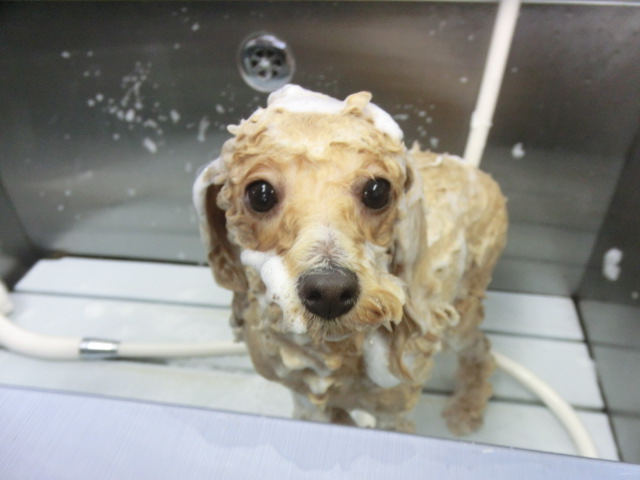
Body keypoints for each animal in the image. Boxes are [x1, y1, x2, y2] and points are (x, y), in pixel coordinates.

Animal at [194, 85, 507, 434]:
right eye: (260, 194)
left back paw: (468, 407)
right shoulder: (306, 400)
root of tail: (472, 169)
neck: (331, 352)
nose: (329, 291)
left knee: (482, 349)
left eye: (377, 190)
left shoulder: (393, 413)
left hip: (462, 311)